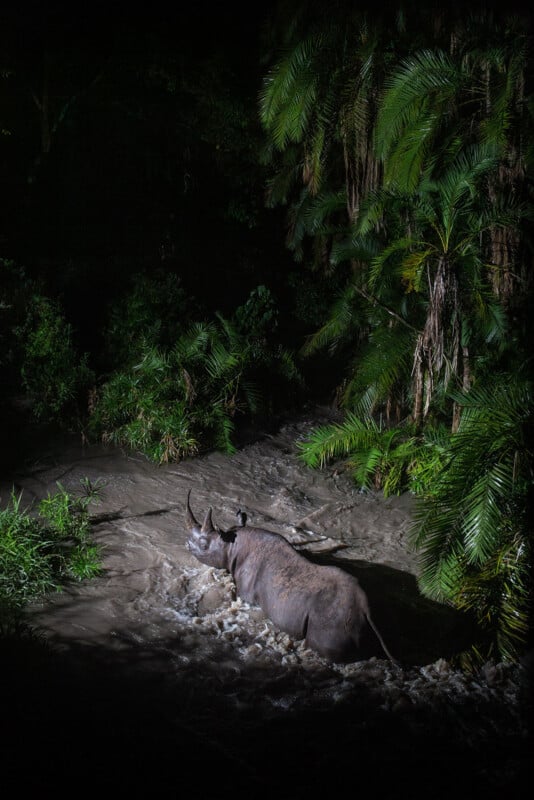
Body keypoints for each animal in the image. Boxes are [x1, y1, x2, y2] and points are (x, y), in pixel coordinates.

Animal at [185, 490, 396, 664]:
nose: (187, 544)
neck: (231, 545)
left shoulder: (246, 593)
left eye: (203, 545)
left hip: (334, 619)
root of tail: (365, 610)